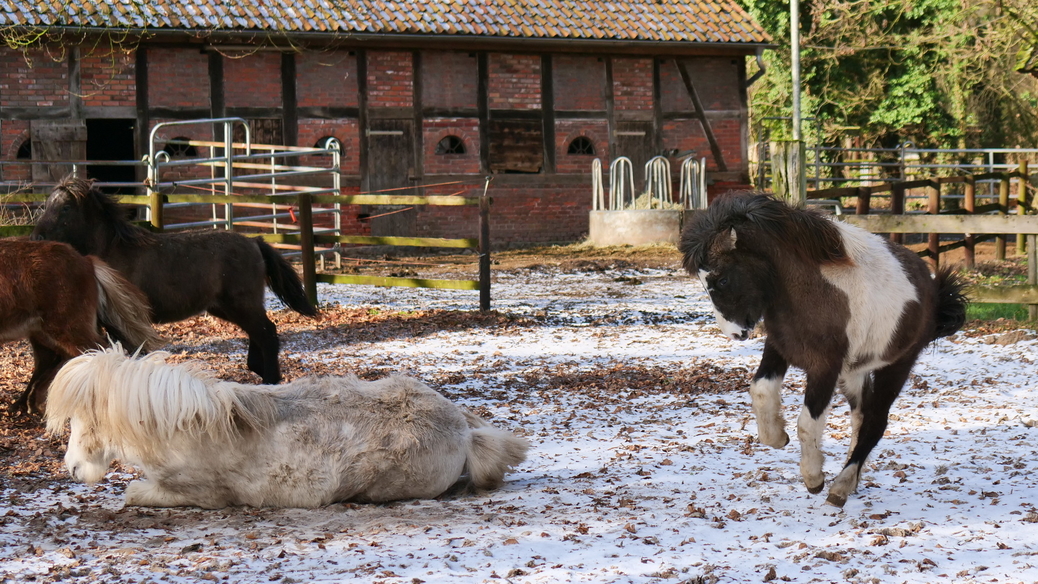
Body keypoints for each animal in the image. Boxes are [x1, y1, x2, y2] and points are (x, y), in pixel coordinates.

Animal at [0, 238, 160, 414]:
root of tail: (87, 261)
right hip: (44, 332)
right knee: (56, 360)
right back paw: (31, 403)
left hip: (67, 328)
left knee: (99, 352)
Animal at [33, 176, 315, 385]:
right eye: (46, 205)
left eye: (65, 207)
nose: (37, 236)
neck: (114, 252)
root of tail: (255, 242)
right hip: (227, 307)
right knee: (259, 332)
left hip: (241, 304)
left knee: (267, 333)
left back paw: (270, 379)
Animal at [42, 344, 527, 510]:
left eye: (84, 420)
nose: (72, 469)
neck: (187, 426)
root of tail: (462, 430)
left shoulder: (202, 496)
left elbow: (131, 492)